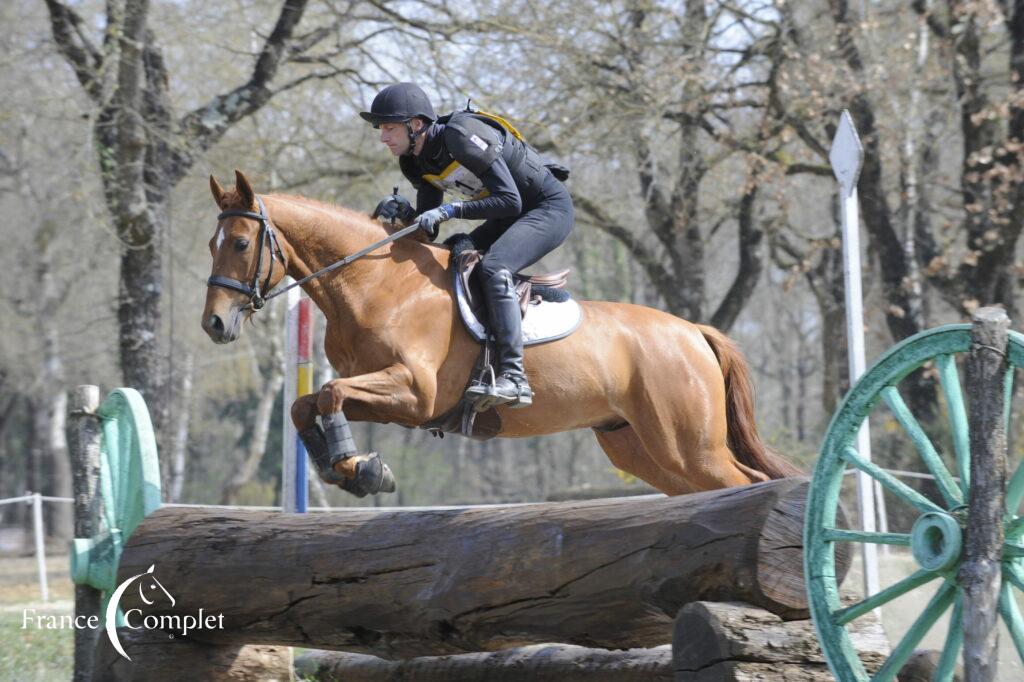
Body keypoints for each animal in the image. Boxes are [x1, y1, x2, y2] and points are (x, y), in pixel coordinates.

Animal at [197, 169, 790, 493]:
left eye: (242, 244)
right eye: (211, 244)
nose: (215, 324)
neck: (373, 282)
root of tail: (694, 332)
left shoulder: (414, 392)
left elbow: (328, 394)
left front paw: (357, 466)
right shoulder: (389, 396)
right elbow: (309, 404)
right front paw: (350, 468)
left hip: (690, 446)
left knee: (748, 484)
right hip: (641, 448)